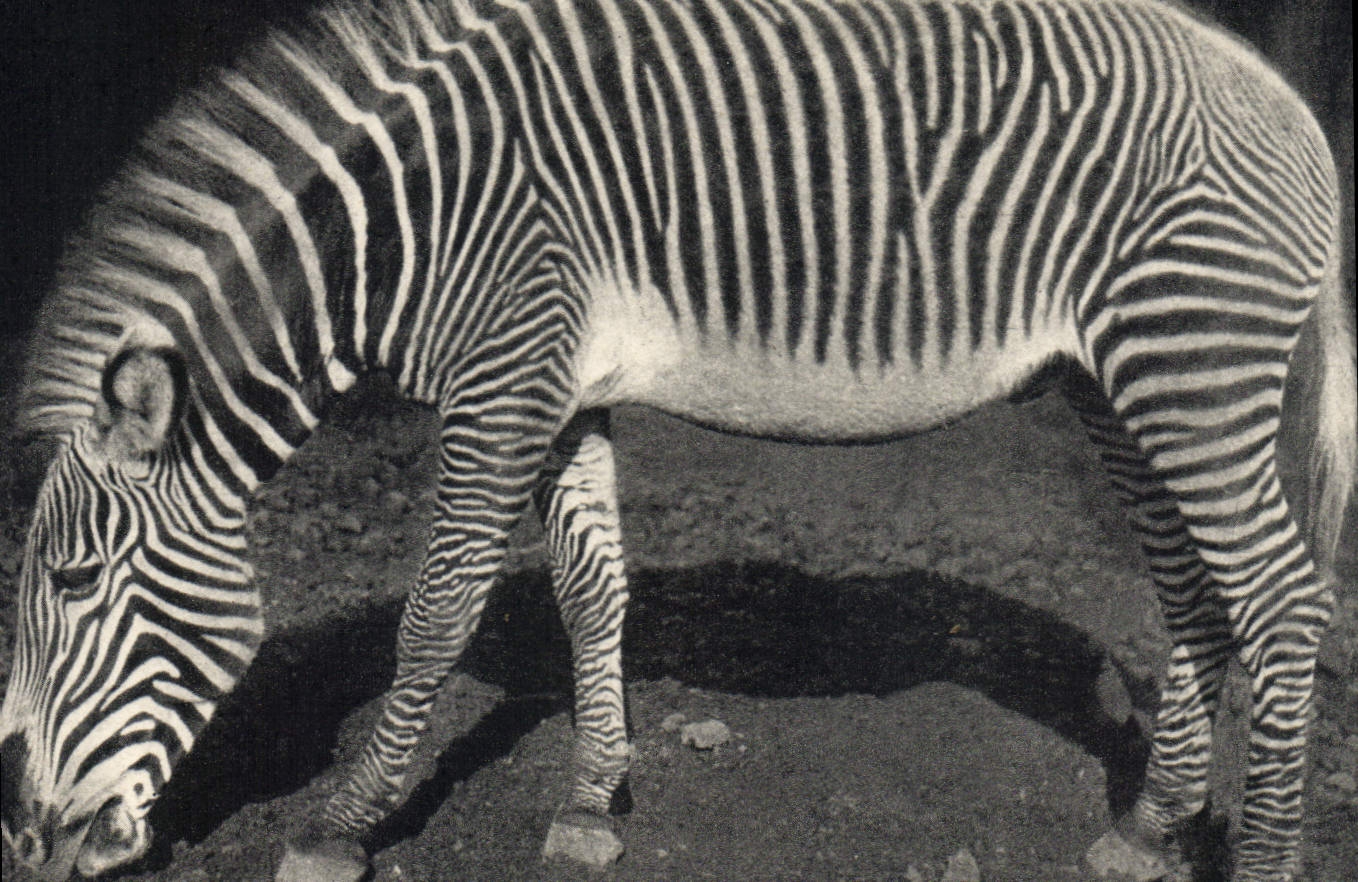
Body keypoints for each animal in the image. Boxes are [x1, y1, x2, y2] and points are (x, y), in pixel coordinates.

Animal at [0, 0, 1350, 880]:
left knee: (1280, 599)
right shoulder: (554, 389)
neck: (399, 231)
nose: (28, 841)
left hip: (1190, 366)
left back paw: (1257, 856)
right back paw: (1149, 826)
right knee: (1192, 588)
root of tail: (1284, 95)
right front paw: (593, 803)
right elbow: (592, 591)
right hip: (1116, 380)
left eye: (70, 580)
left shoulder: (499, 381)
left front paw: (342, 823)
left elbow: (436, 611)